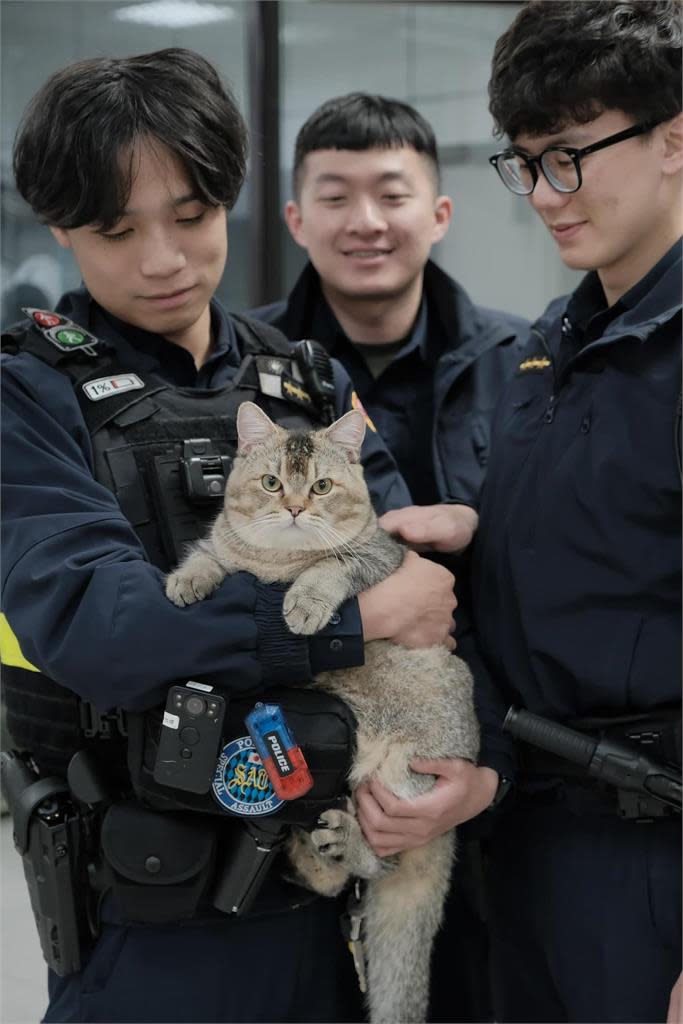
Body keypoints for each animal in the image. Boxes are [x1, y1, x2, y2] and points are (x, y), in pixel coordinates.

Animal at [163, 401, 481, 1024]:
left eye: (321, 486)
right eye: (271, 482)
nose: (293, 507)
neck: (276, 560)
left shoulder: (377, 558)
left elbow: (331, 567)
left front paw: (305, 602)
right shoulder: (227, 545)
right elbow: (211, 551)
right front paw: (188, 578)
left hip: (406, 778)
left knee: (382, 863)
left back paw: (347, 844)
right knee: (338, 885)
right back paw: (310, 856)